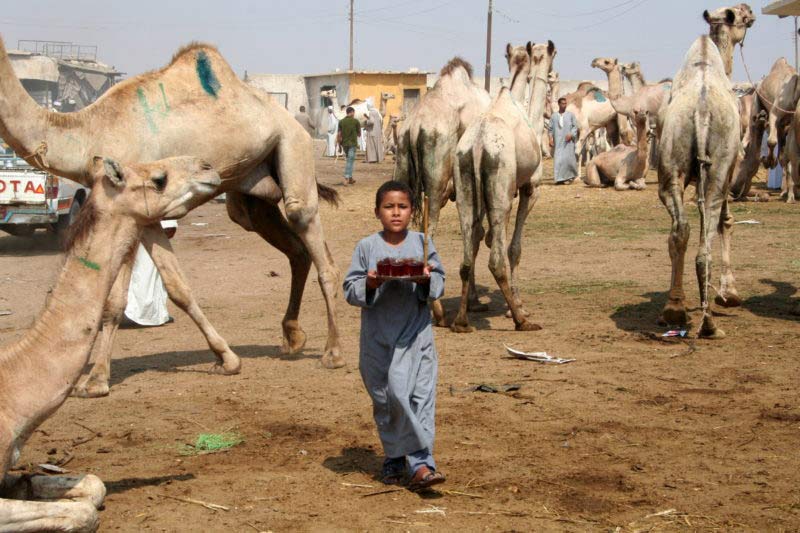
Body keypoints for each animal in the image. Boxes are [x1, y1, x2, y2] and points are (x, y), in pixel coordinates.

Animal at [0, 36, 344, 400]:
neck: (90, 131)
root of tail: (291, 120)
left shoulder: (135, 204)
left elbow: (120, 298)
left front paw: (95, 380)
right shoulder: (142, 213)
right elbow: (175, 287)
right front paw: (225, 359)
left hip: (293, 147)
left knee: (309, 230)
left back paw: (332, 352)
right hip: (251, 193)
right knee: (291, 247)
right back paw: (292, 337)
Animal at [392, 57, 490, 324]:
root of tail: (415, 127)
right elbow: (475, 234)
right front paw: (474, 302)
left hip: (401, 160)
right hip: (435, 184)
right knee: (429, 233)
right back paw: (437, 310)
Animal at [450, 40, 556, 332]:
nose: (553, 76)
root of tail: (477, 145)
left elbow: (484, 237)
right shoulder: (530, 188)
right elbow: (514, 248)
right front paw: (517, 306)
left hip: (465, 184)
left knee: (466, 254)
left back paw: (461, 320)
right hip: (500, 189)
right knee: (496, 260)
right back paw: (523, 321)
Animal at [652, 36, 740, 336]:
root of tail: (702, 113)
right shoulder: (730, 169)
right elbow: (727, 220)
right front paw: (730, 293)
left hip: (673, 164)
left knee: (683, 230)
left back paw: (683, 313)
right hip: (715, 167)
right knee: (704, 226)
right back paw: (699, 318)